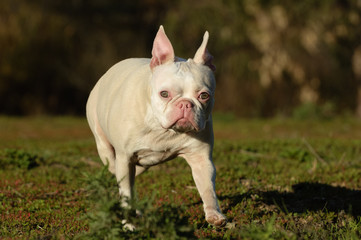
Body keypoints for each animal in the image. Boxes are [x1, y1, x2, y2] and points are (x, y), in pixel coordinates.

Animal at [86, 26, 225, 227]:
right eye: (164, 94)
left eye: (204, 96)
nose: (185, 104)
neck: (163, 130)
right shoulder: (124, 159)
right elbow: (126, 193)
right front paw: (128, 223)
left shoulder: (201, 159)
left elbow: (207, 189)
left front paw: (214, 214)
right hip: (105, 147)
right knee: (115, 169)